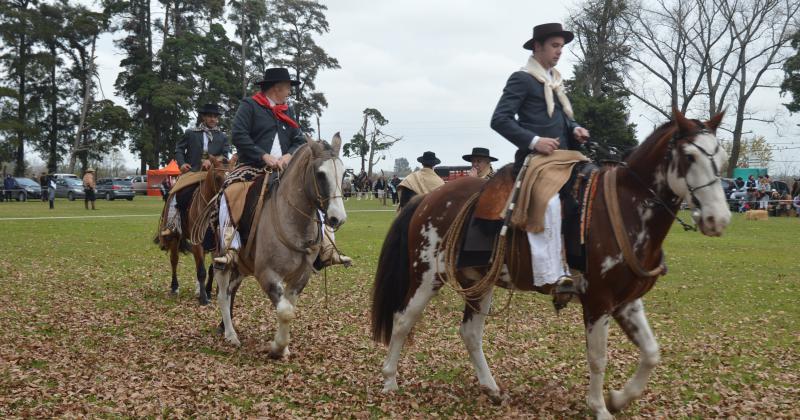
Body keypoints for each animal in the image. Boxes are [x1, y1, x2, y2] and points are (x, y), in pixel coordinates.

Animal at [156, 158, 230, 306]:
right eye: (217, 177)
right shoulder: (198, 242)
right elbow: (201, 271)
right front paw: (203, 298)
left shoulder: (216, 243)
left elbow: (213, 268)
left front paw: (210, 291)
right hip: (175, 237)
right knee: (174, 260)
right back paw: (175, 287)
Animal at [216, 134, 346, 358]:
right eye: (320, 174)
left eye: (344, 172)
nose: (338, 218)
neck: (293, 221)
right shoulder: (267, 274)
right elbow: (284, 311)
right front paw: (277, 347)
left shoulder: (301, 276)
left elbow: (289, 308)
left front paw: (283, 346)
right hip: (223, 259)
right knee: (223, 294)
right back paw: (230, 335)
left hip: (242, 267)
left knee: (231, 290)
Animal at [368, 110, 732, 418]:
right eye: (689, 157)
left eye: (722, 159)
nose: (719, 219)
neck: (625, 207)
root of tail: (427, 198)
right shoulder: (598, 302)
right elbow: (598, 358)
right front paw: (599, 407)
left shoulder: (627, 302)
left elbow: (651, 353)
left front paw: (618, 398)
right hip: (427, 276)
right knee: (403, 320)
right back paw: (389, 380)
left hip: (478, 282)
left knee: (470, 333)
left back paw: (491, 388)